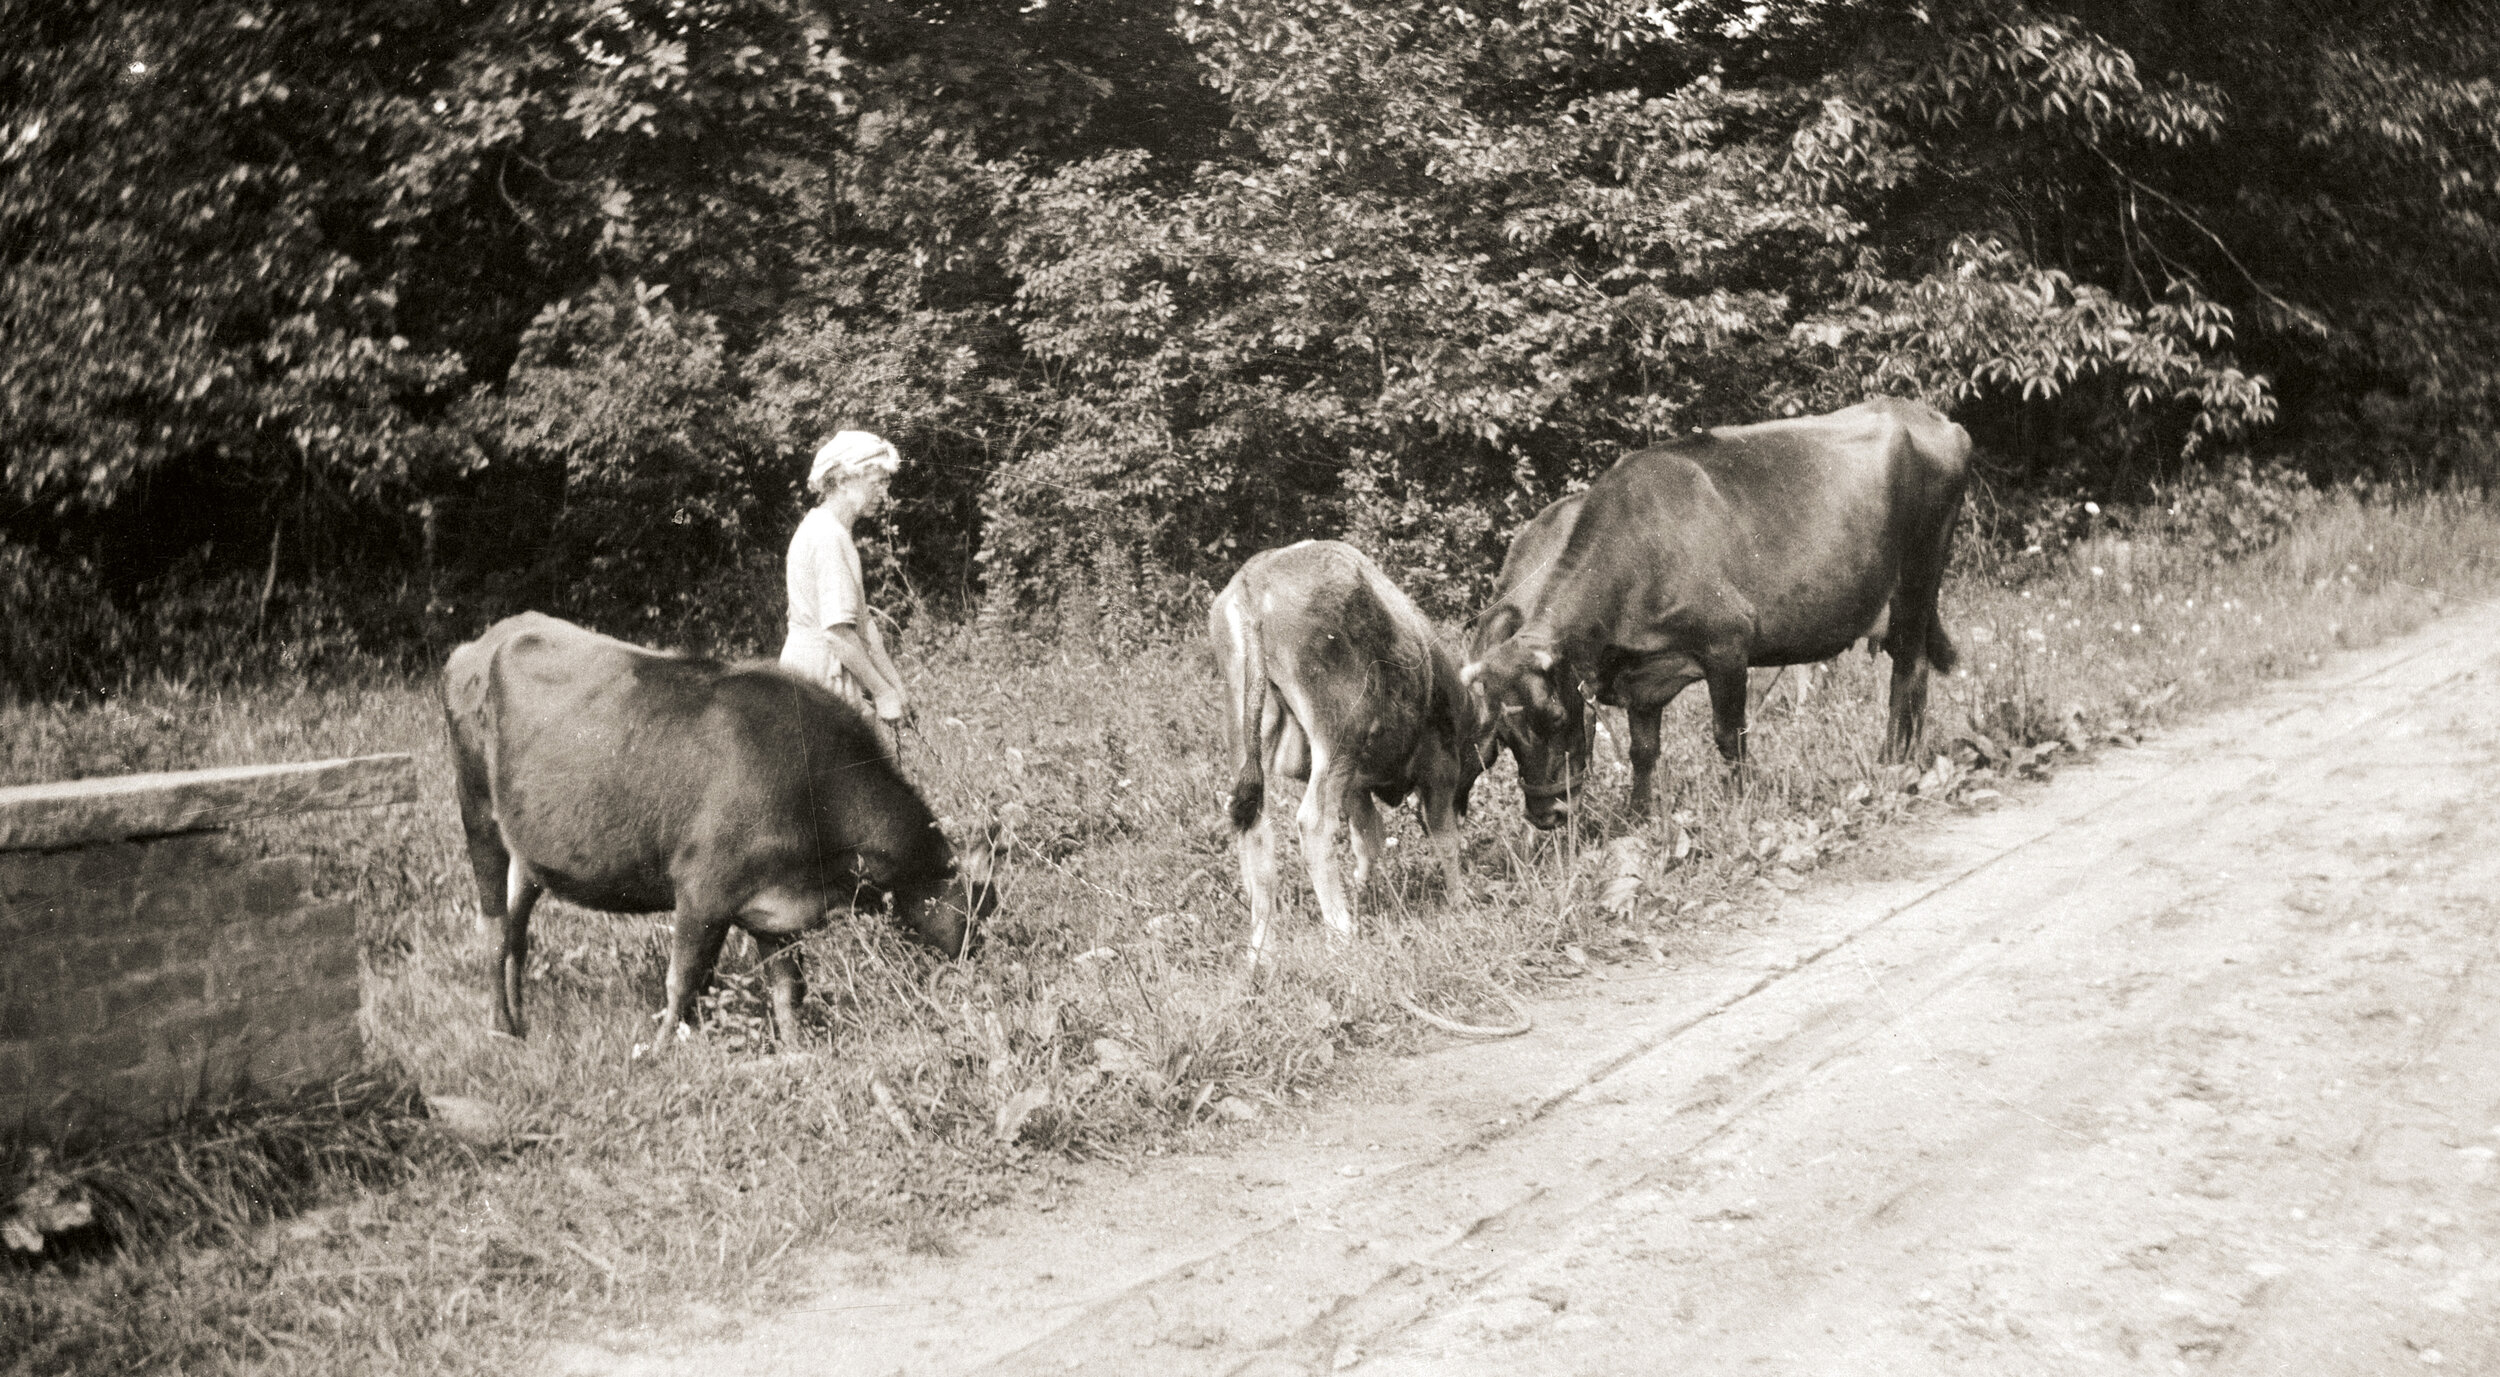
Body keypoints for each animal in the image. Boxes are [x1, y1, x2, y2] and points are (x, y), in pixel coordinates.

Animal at [445, 612, 990, 1044]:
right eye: (976, 909)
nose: (984, 961)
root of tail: (483, 640)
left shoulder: (775, 906)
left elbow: (788, 991)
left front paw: (798, 1053)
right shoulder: (702, 892)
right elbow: (683, 982)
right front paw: (661, 1052)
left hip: (528, 847)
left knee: (518, 927)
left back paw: (520, 1021)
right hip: (478, 815)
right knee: (495, 930)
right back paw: (500, 1029)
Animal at [1215, 544, 1480, 964]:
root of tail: (1254, 578)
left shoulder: (1356, 784)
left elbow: (1368, 838)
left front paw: (1364, 892)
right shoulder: (1439, 767)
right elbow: (1445, 838)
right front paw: (1459, 901)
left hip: (1248, 732)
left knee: (1255, 830)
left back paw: (1261, 949)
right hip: (1337, 735)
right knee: (1313, 823)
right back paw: (1340, 931)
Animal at [1460, 399, 1970, 829]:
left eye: (1556, 717)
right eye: (1503, 736)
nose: (1547, 814)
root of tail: (1929, 416)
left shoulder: (1727, 644)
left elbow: (1730, 736)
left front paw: (1741, 805)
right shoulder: (1641, 676)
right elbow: (1644, 750)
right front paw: (1637, 818)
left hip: (1918, 582)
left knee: (1907, 677)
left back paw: (1894, 763)